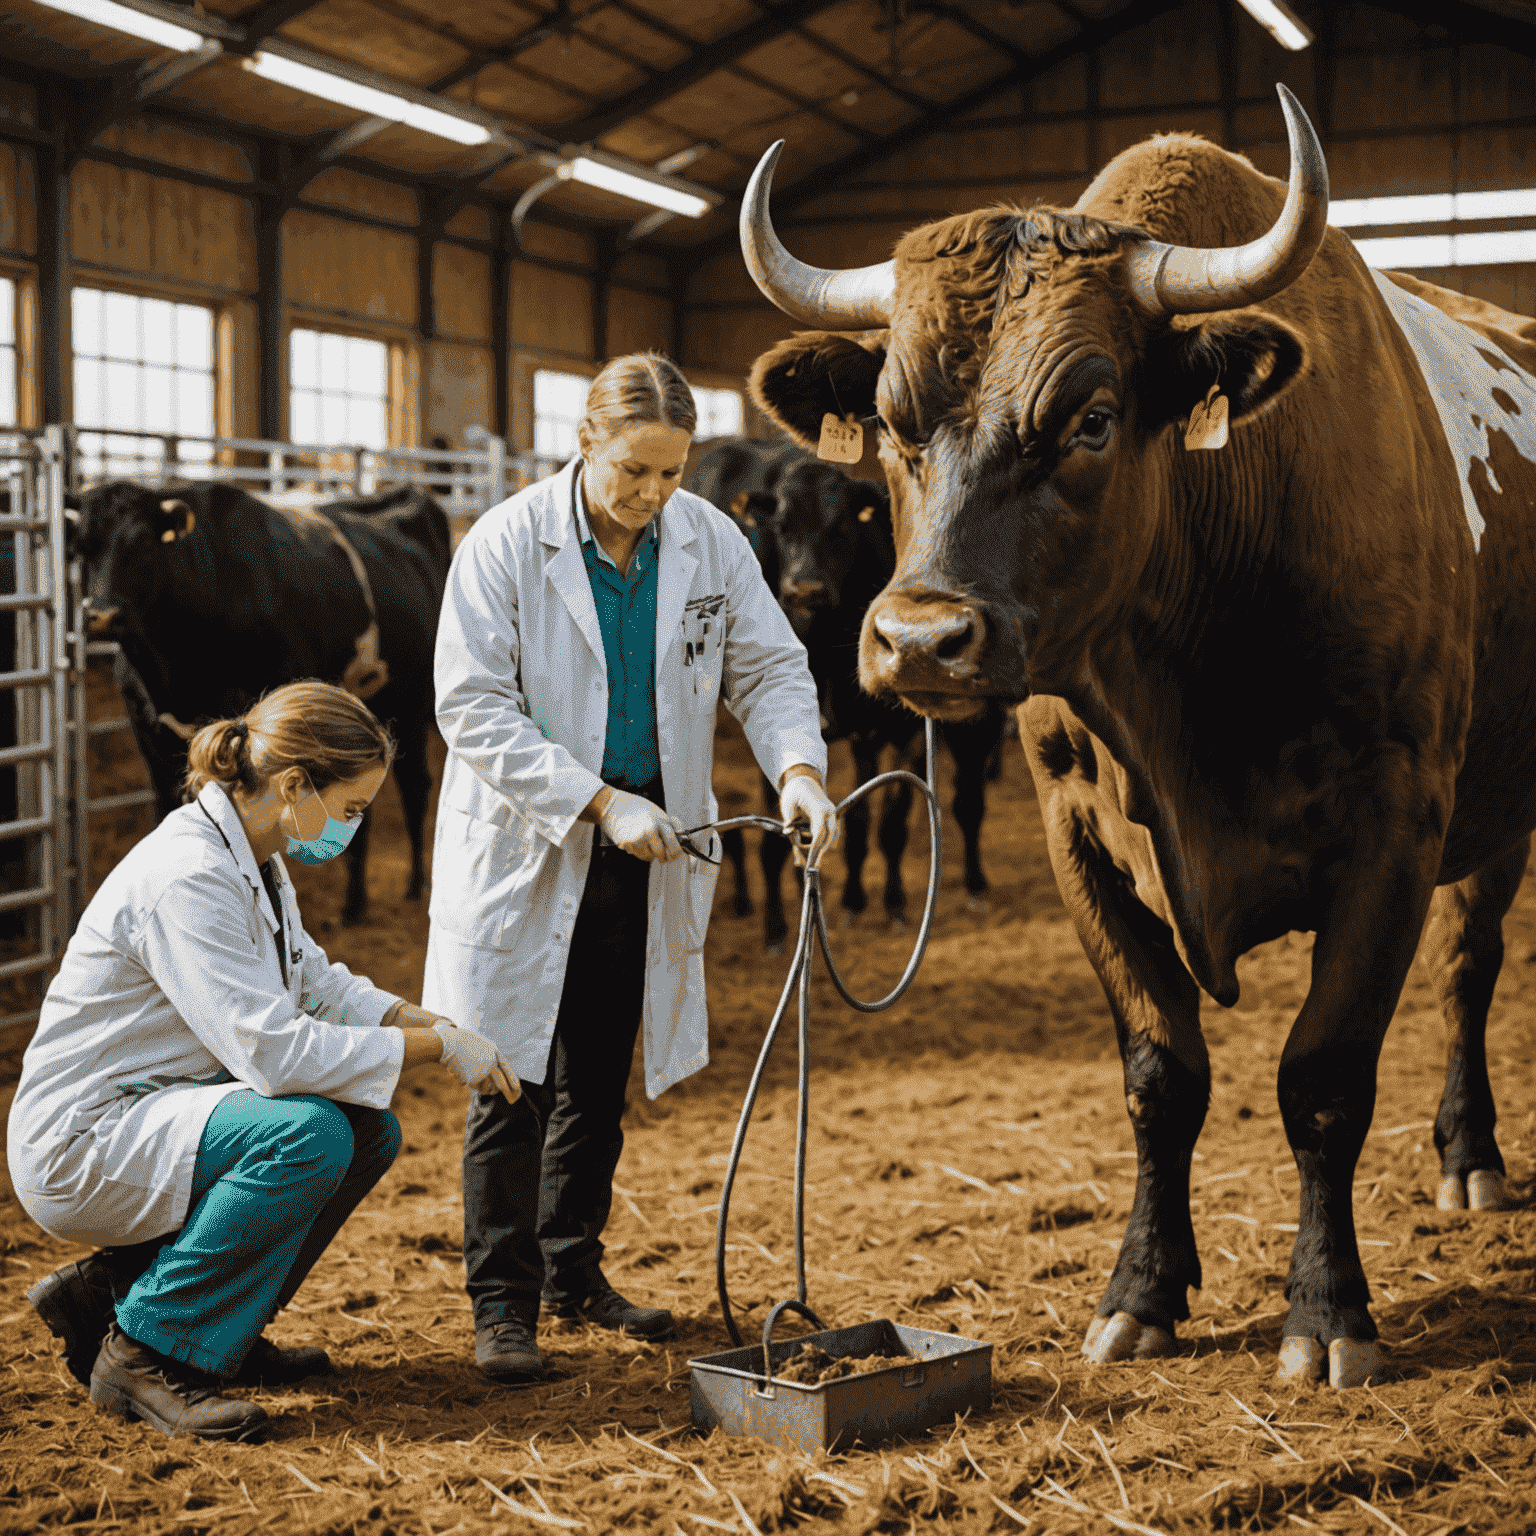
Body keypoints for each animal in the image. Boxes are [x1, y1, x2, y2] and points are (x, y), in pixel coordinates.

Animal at [73, 476, 445, 921]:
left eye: (144, 543)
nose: (102, 615)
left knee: (416, 788)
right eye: (80, 548)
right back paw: (355, 904)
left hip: (412, 704)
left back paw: (415, 885)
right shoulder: (148, 731)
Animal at [688, 439, 1001, 946]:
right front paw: (779, 924)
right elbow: (777, 836)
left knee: (967, 800)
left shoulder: (893, 730)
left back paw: (972, 883)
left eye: (842, 527)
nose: (805, 589)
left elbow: (884, 821)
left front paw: (884, 903)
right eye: (783, 527)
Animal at [731, 87, 1536, 1394]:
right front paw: (1142, 1294)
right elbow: (1163, 1074)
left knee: (1469, 969)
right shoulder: (1083, 837)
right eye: (894, 426)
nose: (917, 639)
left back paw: (1470, 1155)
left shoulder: (1396, 824)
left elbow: (1323, 1077)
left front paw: (1328, 1312)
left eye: (1094, 417)